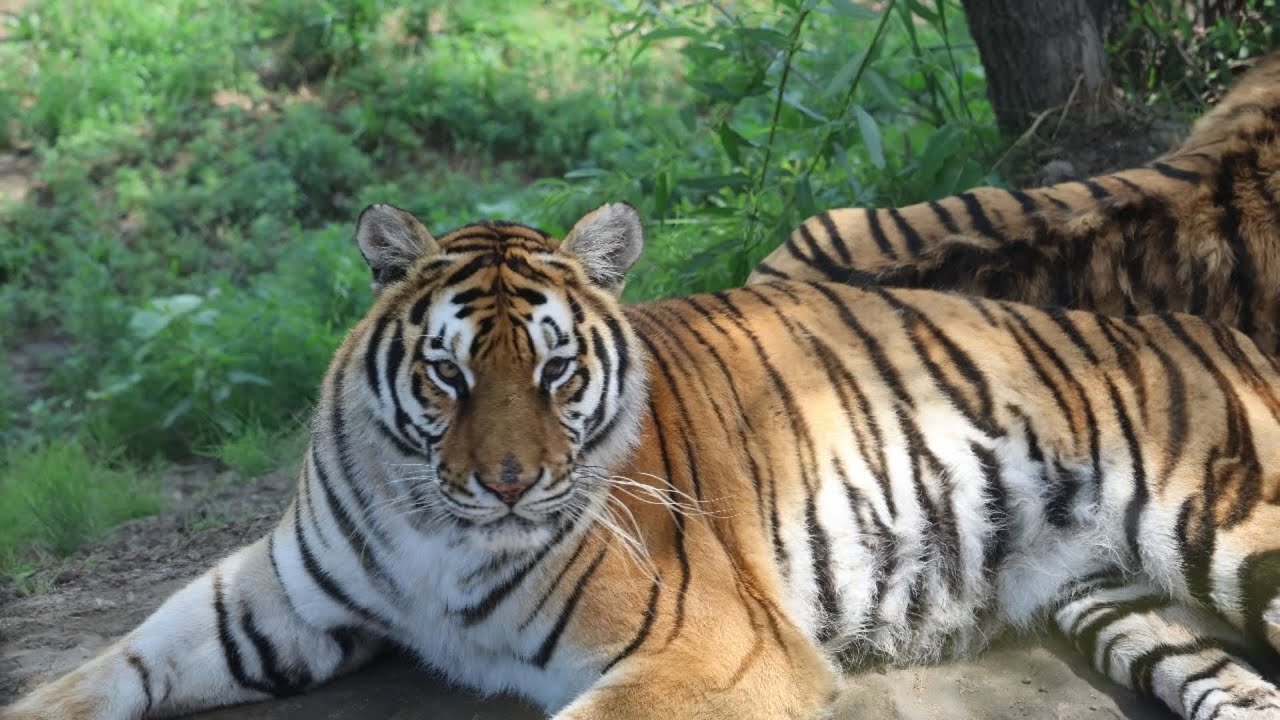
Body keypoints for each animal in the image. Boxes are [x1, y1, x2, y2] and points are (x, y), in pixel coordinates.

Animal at [7, 201, 1280, 720]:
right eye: (448, 376)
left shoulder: (712, 651)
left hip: (1234, 525)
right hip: (1109, 602)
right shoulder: (274, 600)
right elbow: (97, 673)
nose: (510, 482)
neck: (431, 531)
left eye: (556, 373)